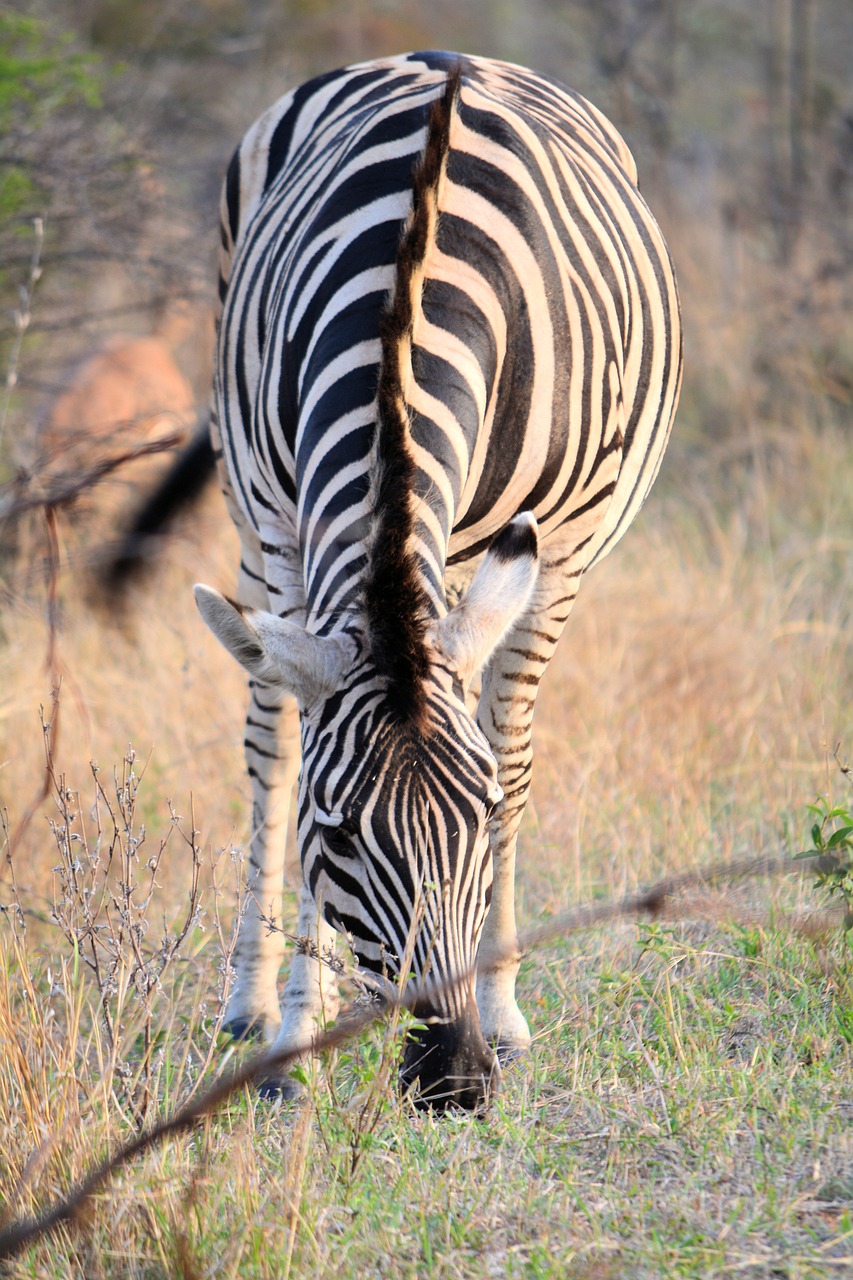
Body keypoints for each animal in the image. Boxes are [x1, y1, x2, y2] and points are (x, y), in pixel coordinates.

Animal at [151, 52, 676, 1111]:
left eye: (478, 824)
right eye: (338, 836)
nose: (455, 1078)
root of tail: (445, 60)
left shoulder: (550, 548)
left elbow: (511, 757)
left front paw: (503, 1013)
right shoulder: (288, 526)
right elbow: (290, 755)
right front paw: (292, 1041)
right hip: (245, 509)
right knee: (268, 741)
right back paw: (252, 1006)